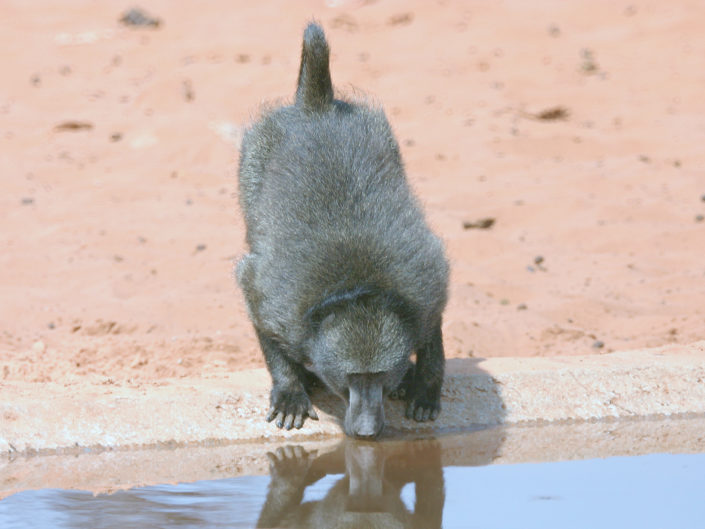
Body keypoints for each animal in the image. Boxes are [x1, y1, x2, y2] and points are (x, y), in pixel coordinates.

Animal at [236, 22, 449, 439]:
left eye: (377, 376)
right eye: (352, 379)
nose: (366, 431)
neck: (357, 287)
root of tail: (315, 108)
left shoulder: (426, 293)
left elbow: (432, 334)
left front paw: (425, 387)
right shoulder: (274, 304)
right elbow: (258, 309)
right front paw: (290, 390)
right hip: (253, 158)